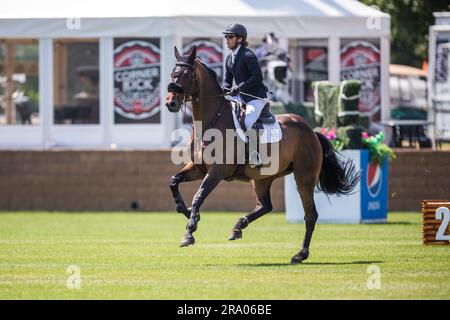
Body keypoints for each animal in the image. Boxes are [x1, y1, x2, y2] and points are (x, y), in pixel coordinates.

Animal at [165, 46, 358, 264]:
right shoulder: (198, 168)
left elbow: (198, 196)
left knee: (310, 215)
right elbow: (173, 181)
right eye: (172, 74)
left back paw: (300, 254)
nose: (171, 103)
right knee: (265, 206)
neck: (210, 120)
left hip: (304, 178)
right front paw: (187, 212)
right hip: (262, 178)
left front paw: (189, 232)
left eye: (186, 74)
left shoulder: (216, 172)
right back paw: (238, 227)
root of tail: (310, 130)